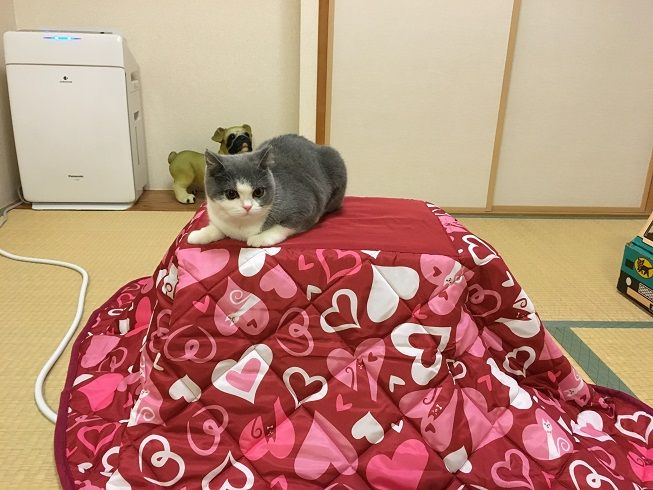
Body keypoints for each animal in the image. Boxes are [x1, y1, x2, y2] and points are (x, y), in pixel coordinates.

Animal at [187, 134, 347, 247]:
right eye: (231, 194)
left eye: (258, 192)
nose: (247, 207)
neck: (241, 227)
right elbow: (218, 228)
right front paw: (199, 235)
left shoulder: (307, 206)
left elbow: (284, 226)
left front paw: (260, 238)